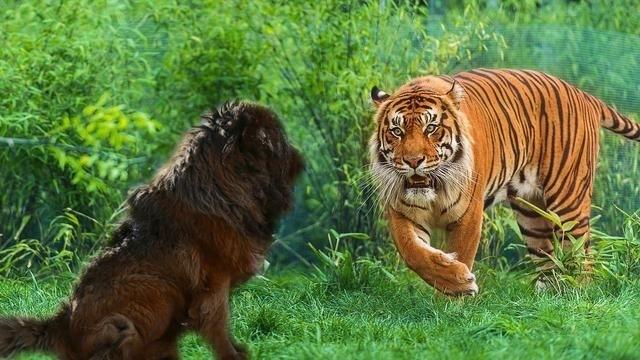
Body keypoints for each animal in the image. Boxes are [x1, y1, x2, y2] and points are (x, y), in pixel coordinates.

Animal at [0, 101, 304, 360]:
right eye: (279, 140)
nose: (302, 161)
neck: (222, 186)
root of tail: (60, 325)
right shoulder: (214, 284)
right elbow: (219, 328)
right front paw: (234, 355)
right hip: (143, 304)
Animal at [370, 67, 640, 296]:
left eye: (431, 128)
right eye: (397, 131)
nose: (413, 161)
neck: (435, 189)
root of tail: (582, 94)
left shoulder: (468, 213)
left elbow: (462, 252)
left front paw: (454, 298)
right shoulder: (401, 209)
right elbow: (412, 252)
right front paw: (454, 283)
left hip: (569, 200)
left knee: (582, 252)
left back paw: (580, 294)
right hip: (531, 214)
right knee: (548, 259)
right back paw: (548, 298)